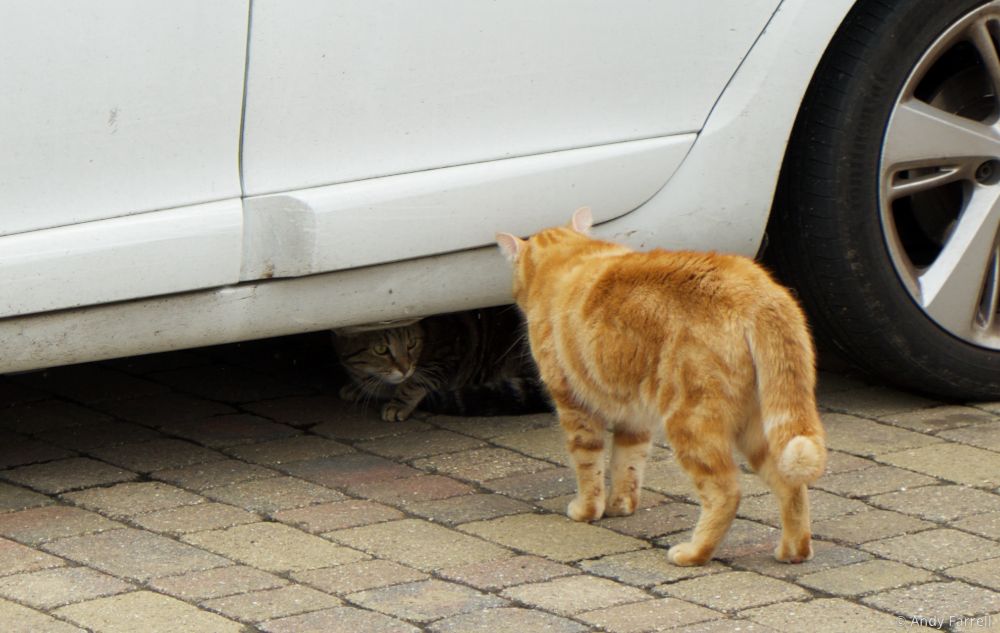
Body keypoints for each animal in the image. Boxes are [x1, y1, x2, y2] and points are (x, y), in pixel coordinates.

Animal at [332, 304, 552, 420]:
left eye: (411, 344)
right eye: (381, 349)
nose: (405, 369)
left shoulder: (449, 351)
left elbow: (416, 383)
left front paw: (398, 402)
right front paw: (358, 388)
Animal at [496, 210, 824, 564]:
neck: (570, 258)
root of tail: (759, 293)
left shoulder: (574, 405)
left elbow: (588, 463)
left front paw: (587, 510)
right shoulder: (634, 415)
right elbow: (627, 463)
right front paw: (620, 505)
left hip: (691, 422)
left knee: (727, 492)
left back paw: (693, 553)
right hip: (760, 425)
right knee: (790, 486)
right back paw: (793, 551)